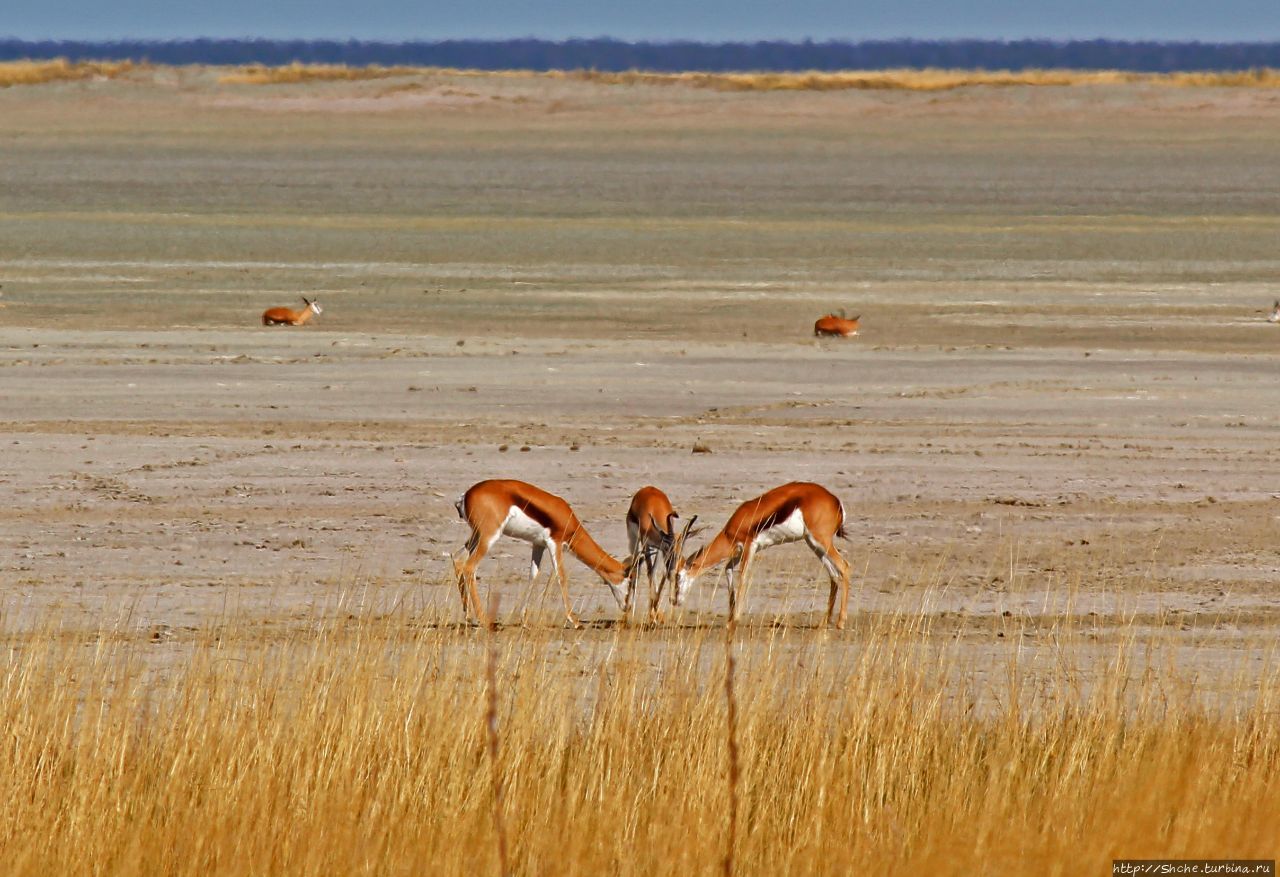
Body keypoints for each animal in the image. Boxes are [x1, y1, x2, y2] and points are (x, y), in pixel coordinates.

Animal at [453, 478, 627, 629]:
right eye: (629, 578)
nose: (627, 607)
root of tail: (465, 495)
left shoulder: (538, 545)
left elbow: (533, 576)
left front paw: (524, 620)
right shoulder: (555, 544)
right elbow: (561, 577)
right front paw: (575, 621)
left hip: (477, 536)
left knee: (457, 559)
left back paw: (469, 617)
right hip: (489, 536)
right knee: (469, 567)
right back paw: (483, 620)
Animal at [675, 478, 855, 629]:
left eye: (678, 576)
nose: (674, 600)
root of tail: (835, 501)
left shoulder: (750, 547)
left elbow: (743, 579)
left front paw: (735, 620)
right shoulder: (737, 553)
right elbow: (728, 570)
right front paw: (729, 619)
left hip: (821, 541)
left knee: (845, 567)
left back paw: (840, 623)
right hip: (813, 544)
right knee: (834, 575)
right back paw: (825, 622)